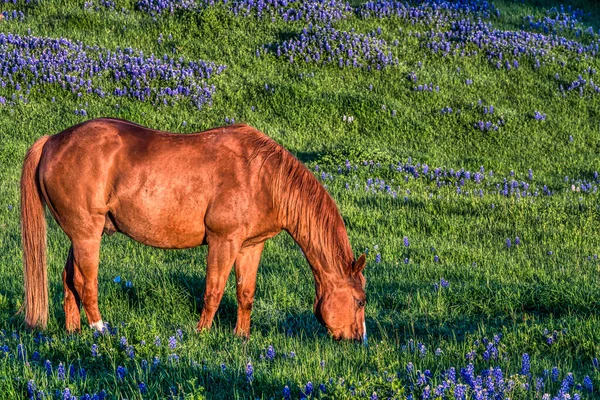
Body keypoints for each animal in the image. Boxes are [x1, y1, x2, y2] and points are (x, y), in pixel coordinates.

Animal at [21, 117, 368, 342]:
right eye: (361, 301)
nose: (357, 339)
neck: (262, 176)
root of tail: (52, 142)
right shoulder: (223, 241)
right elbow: (213, 291)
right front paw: (202, 333)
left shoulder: (250, 246)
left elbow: (245, 293)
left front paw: (241, 337)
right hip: (87, 236)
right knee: (85, 282)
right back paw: (99, 329)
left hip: (79, 236)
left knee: (69, 279)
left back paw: (74, 331)